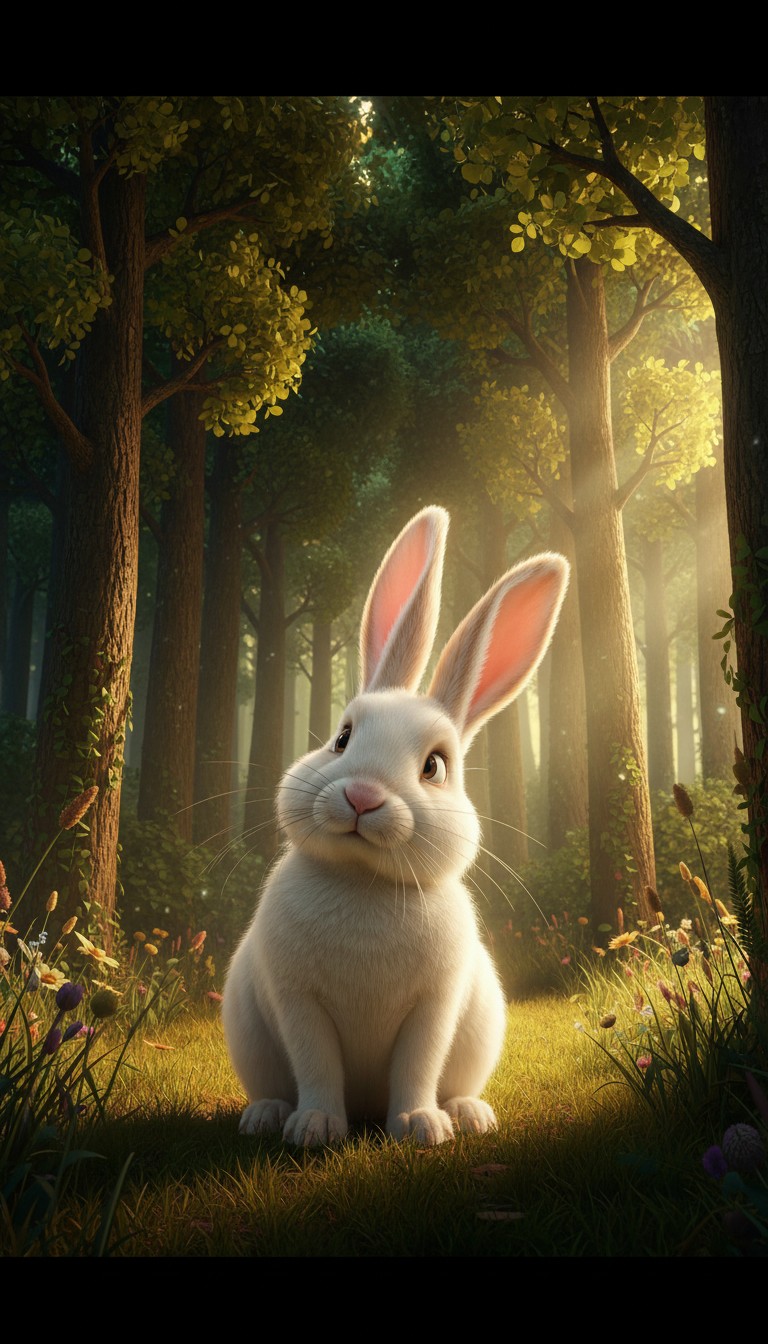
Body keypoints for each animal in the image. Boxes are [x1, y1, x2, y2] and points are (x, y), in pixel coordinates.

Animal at [222, 505, 569, 1147]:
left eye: (435, 766)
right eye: (342, 737)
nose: (362, 796)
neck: (367, 882)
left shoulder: (434, 1006)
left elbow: (418, 1064)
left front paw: (419, 1126)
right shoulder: (298, 1001)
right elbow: (315, 1063)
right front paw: (315, 1128)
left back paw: (468, 1113)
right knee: (273, 1085)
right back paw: (267, 1116)